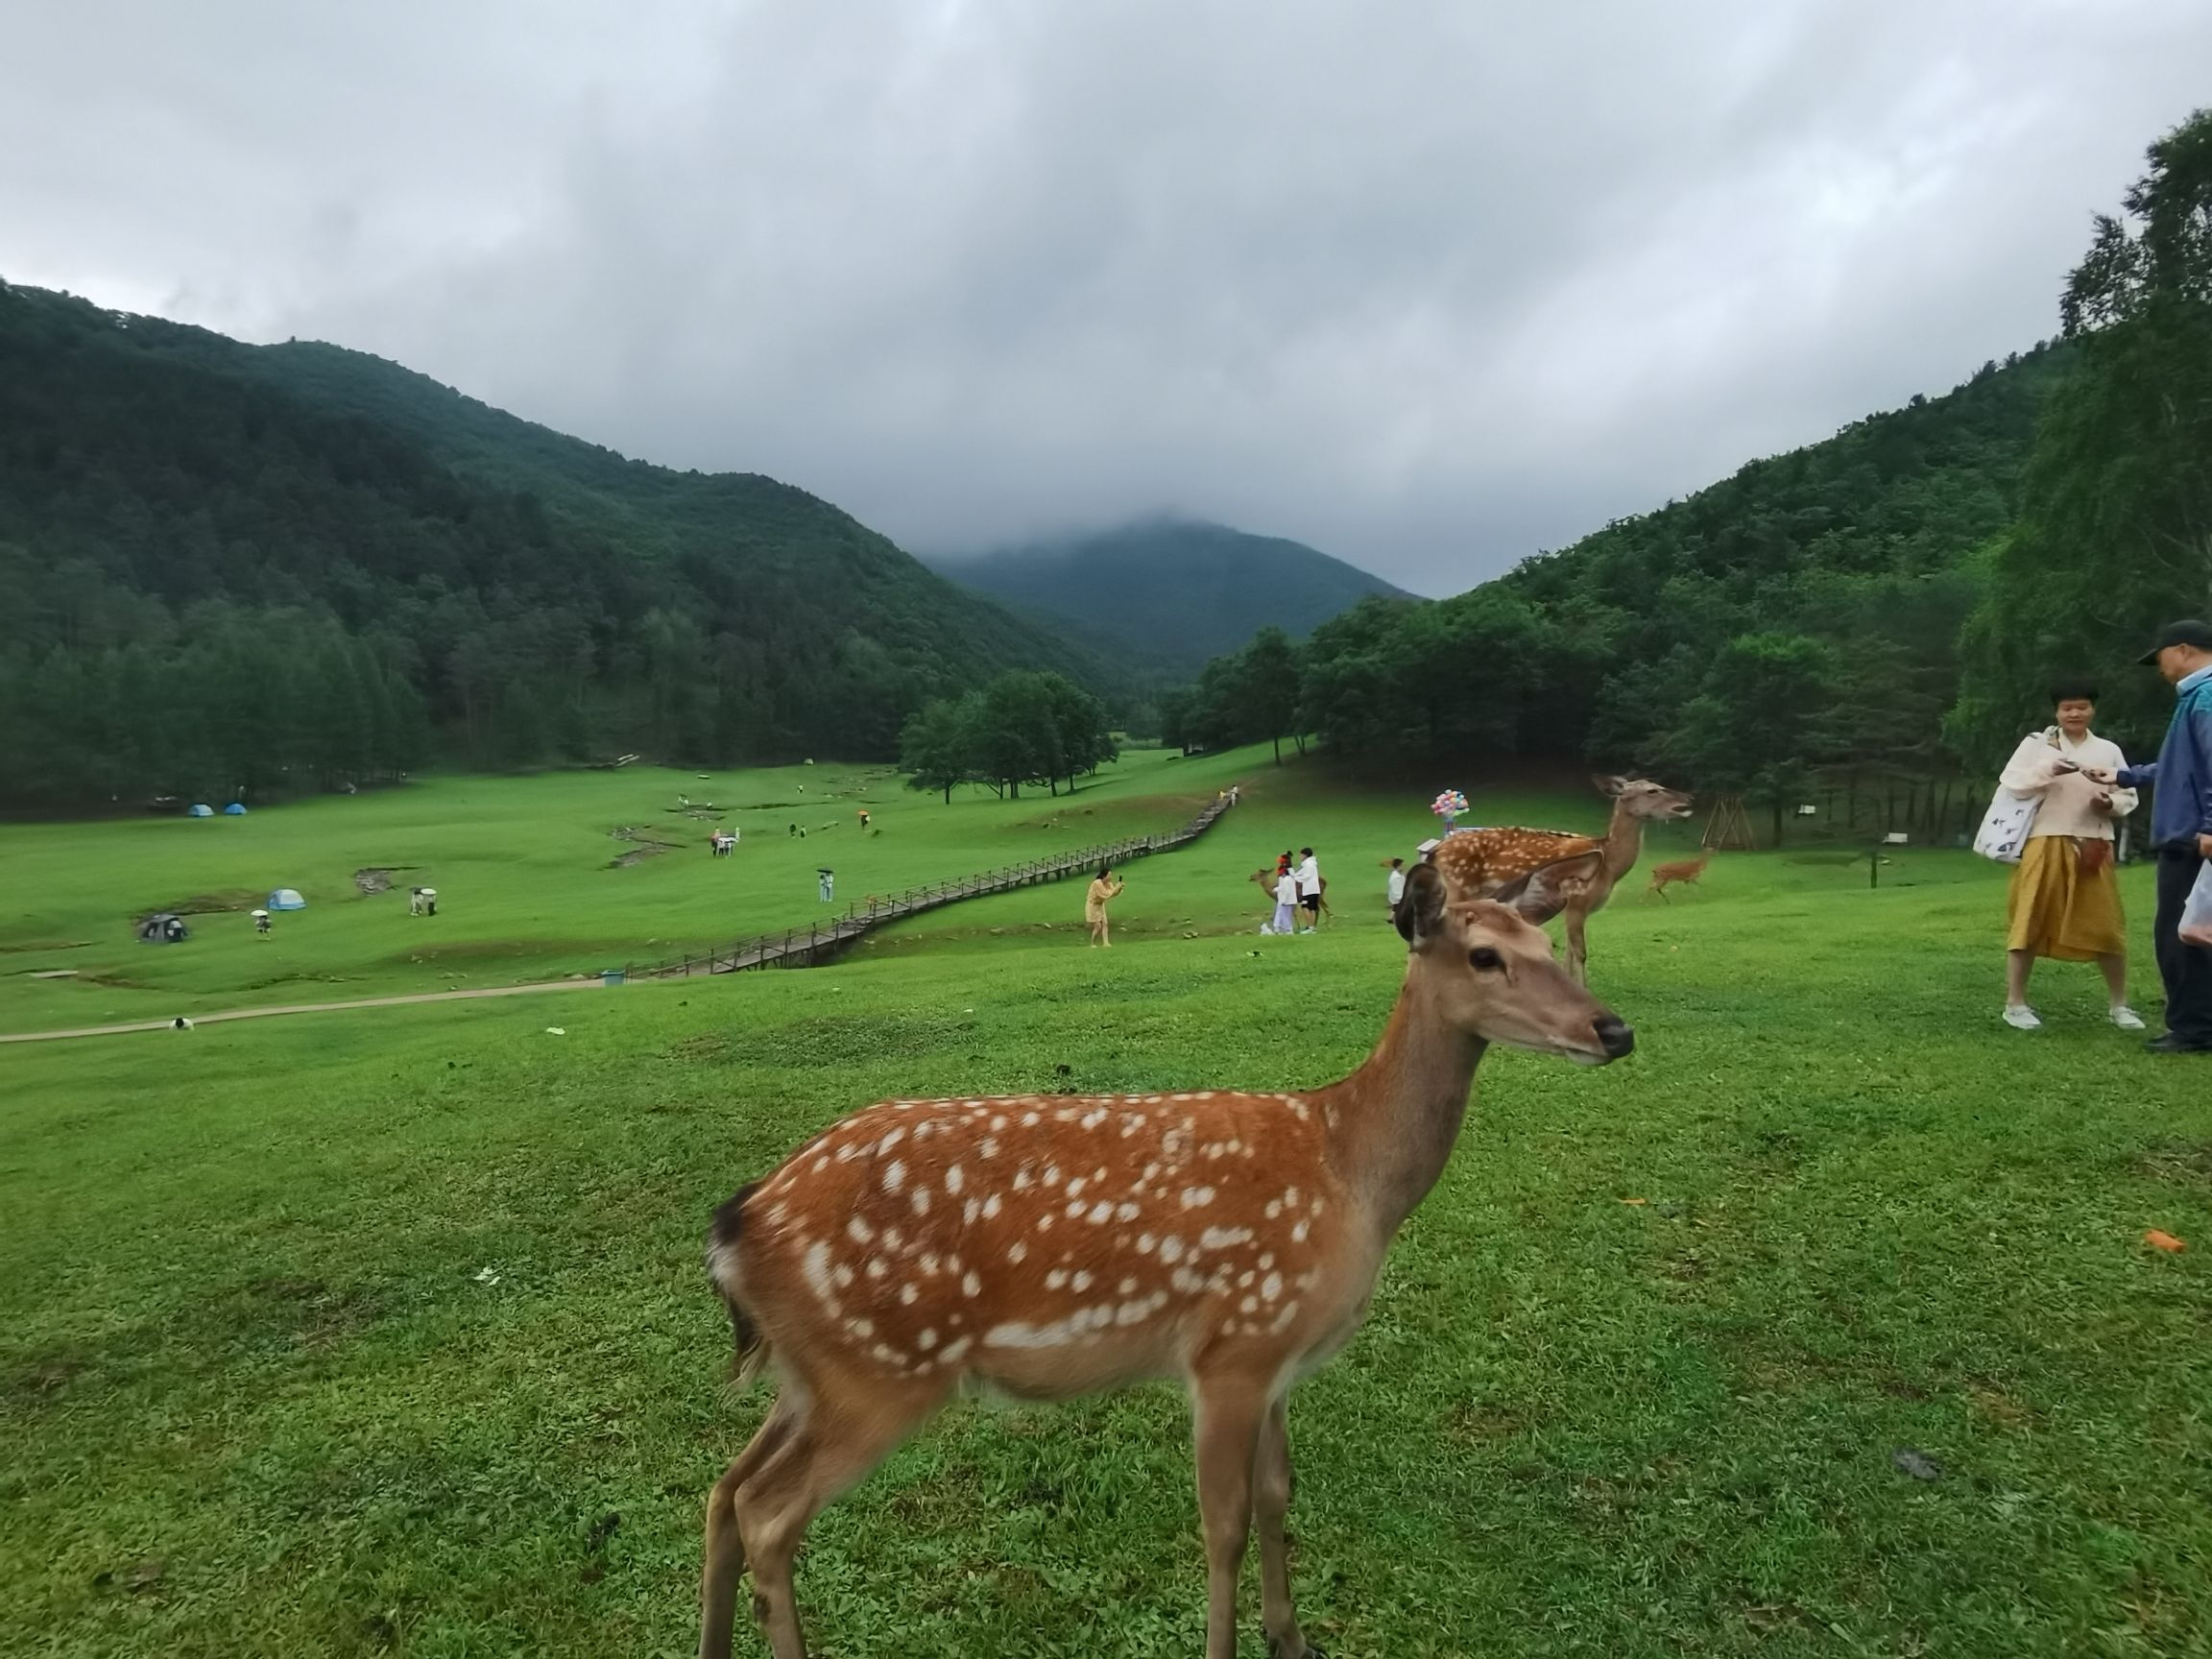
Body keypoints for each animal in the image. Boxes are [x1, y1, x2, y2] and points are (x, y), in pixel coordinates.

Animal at [696, 855, 1631, 1659]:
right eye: (1484, 955)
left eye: (1547, 942)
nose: (1614, 1029)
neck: (1347, 1168)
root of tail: (737, 1223)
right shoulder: (1232, 1347)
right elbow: (1223, 1527)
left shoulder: (1277, 1359)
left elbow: (1276, 1497)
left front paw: (1293, 1637)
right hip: (879, 1371)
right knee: (770, 1513)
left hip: (813, 1374)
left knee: (727, 1491)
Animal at [1428, 775, 1692, 984]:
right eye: (1652, 790)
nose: (1689, 799)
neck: (1609, 865)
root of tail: (1436, 851)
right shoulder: (1578, 900)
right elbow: (1581, 952)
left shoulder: (1573, 908)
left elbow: (1569, 952)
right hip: (1458, 887)